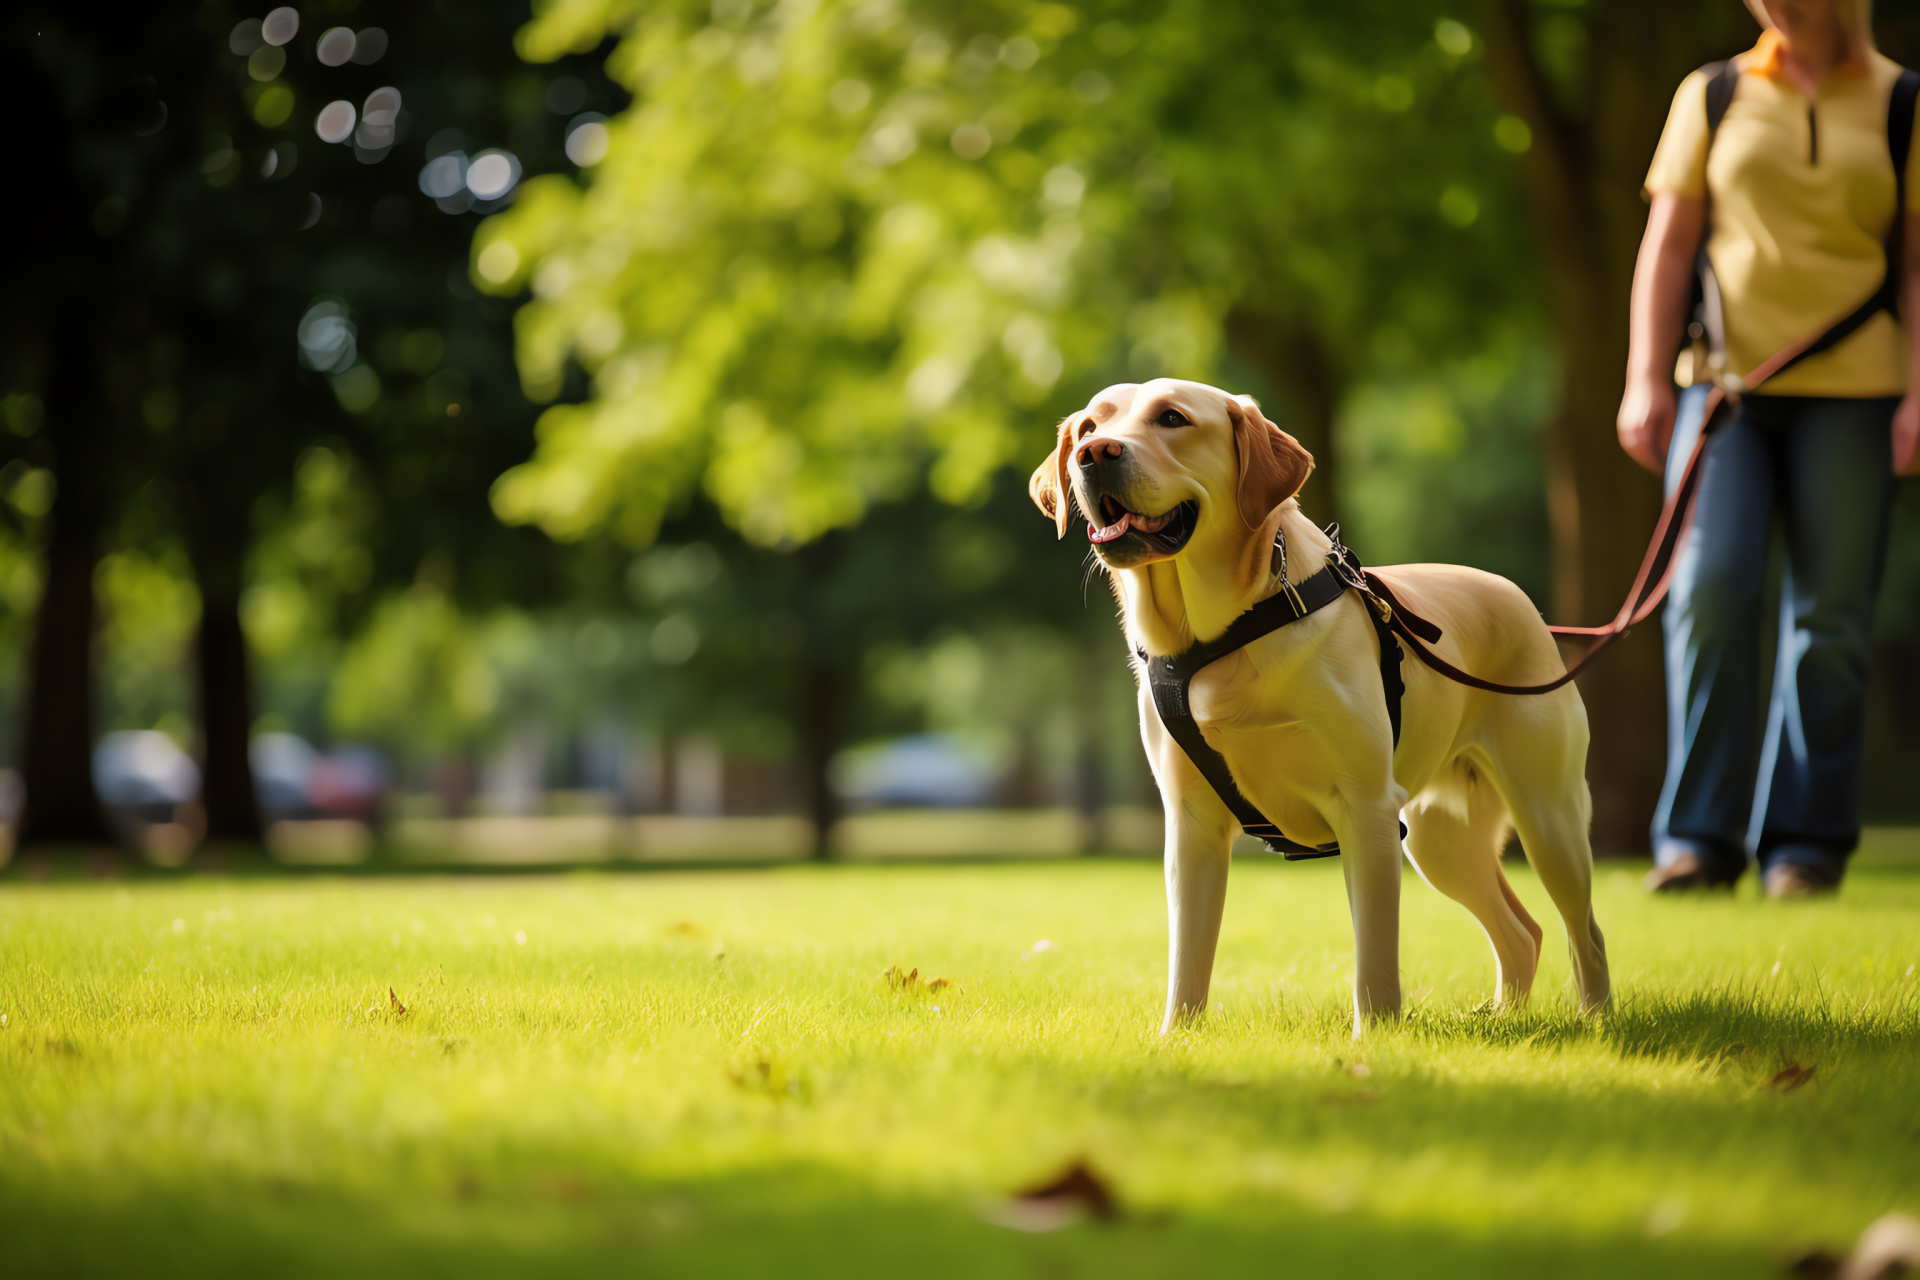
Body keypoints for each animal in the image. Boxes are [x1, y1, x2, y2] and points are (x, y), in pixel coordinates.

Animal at [1029, 379, 1612, 1043]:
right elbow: (1188, 961)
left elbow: (1375, 958)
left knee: (1585, 933)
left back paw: (1599, 1024)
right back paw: (1504, 1017)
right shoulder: (1192, 824)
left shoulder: (1367, 809)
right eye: (1089, 426)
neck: (1221, 635)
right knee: (1524, 932)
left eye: (1172, 418)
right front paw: (1176, 1041)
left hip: (1547, 815)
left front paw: (1373, 1042)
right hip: (1439, 837)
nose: (1094, 453)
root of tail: (1524, 602)